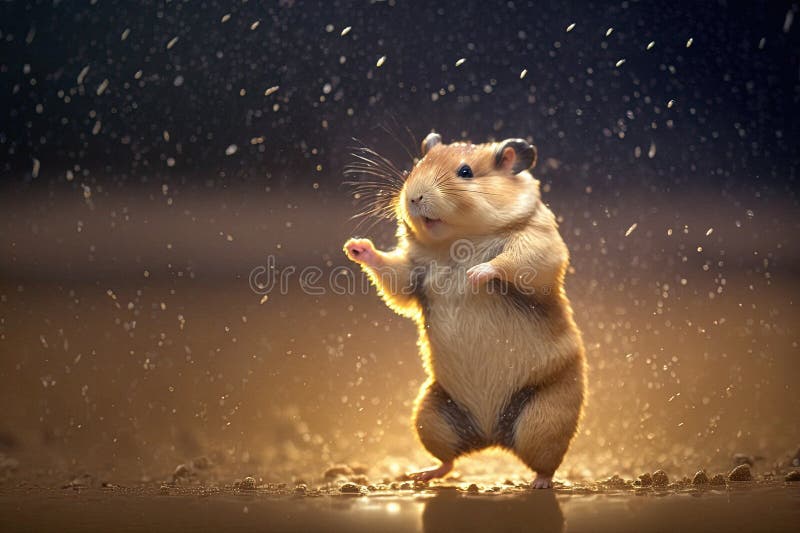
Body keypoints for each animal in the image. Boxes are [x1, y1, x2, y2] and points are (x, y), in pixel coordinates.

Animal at [343, 132, 586, 489]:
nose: (413, 198)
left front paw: (474, 275)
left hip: (546, 414)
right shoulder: (412, 271)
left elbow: (514, 260)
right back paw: (422, 475)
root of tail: (491, 436)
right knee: (449, 459)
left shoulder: (537, 242)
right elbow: (394, 274)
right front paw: (355, 246)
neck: (456, 239)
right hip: (431, 415)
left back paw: (539, 483)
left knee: (546, 461)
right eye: (417, 165)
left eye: (466, 172)